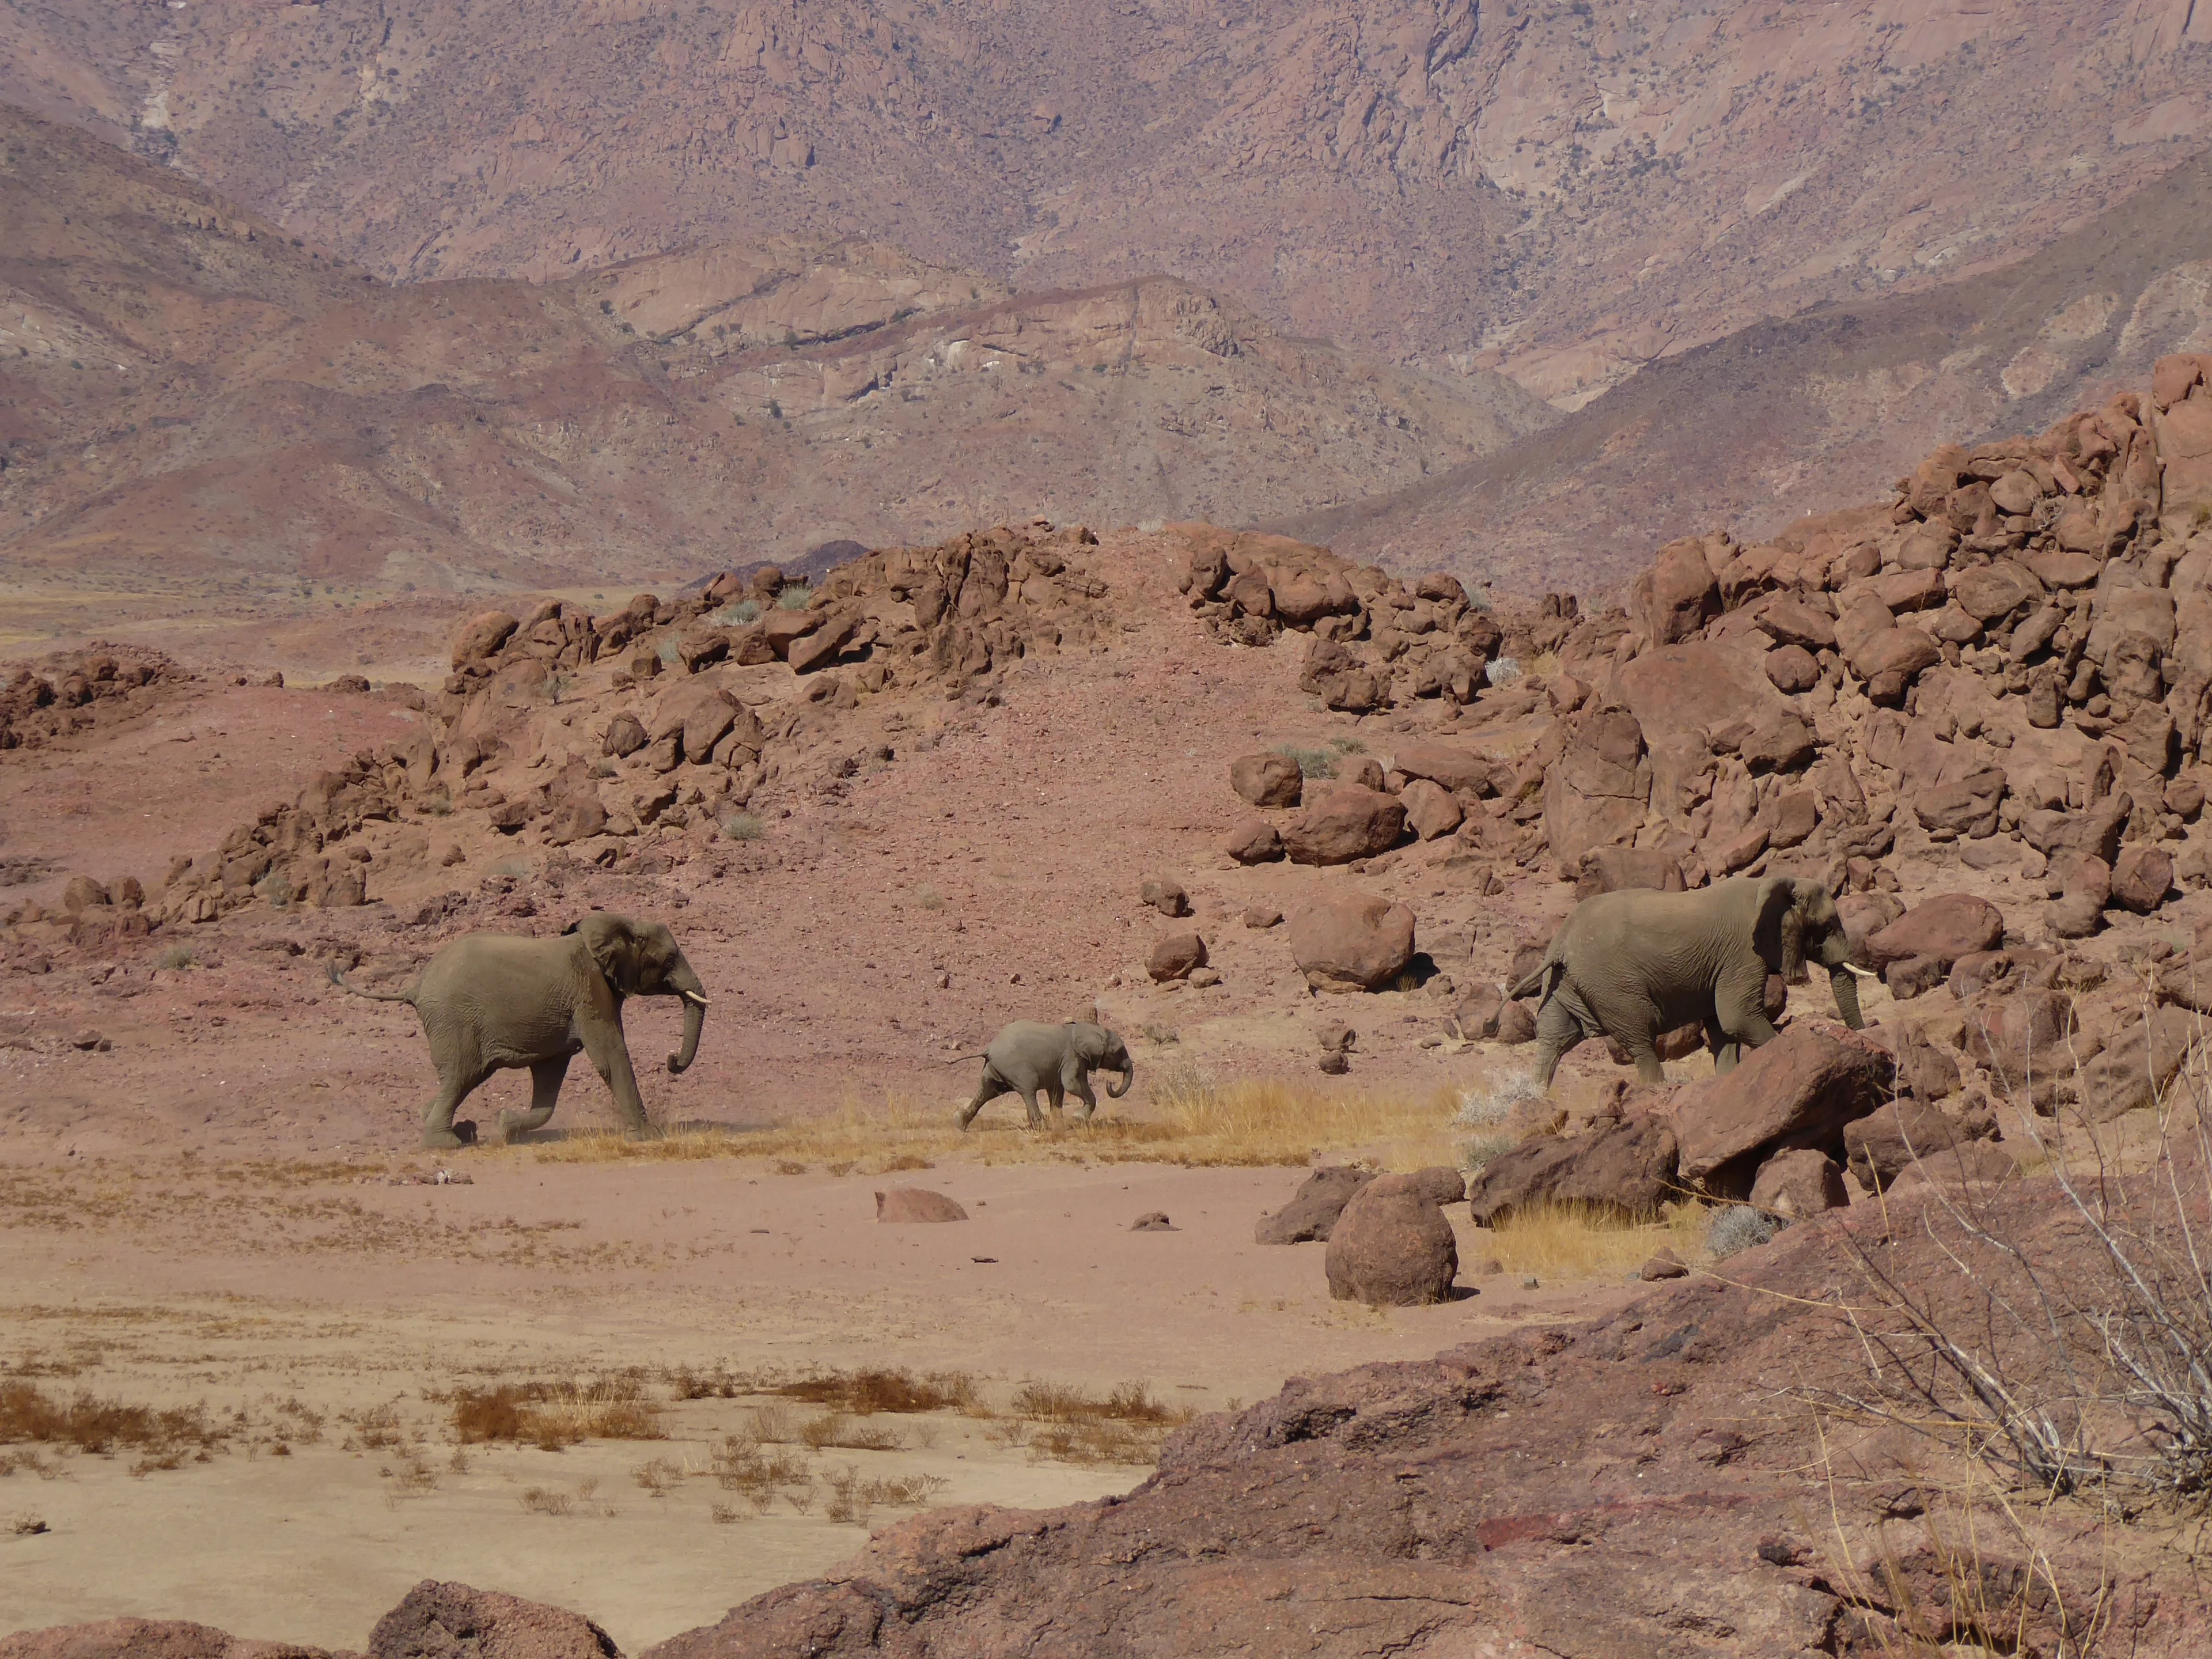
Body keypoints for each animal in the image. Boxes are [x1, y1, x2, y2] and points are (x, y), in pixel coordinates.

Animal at [330, 912, 708, 1150]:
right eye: (670, 959)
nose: (671, 1060)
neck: (619, 924)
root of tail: (416, 985)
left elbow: (551, 1074)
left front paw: (506, 1124)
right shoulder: (591, 990)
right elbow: (609, 1057)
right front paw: (648, 1136)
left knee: (459, 1079)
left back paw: (459, 1129)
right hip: (454, 1021)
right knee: (463, 1075)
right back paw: (445, 1143)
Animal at [958, 1021, 1134, 1130]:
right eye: (1118, 1052)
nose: (1110, 1083)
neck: (1090, 1028)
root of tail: (989, 1048)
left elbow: (1058, 1090)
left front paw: (1061, 1124)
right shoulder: (1073, 1057)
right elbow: (1071, 1084)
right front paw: (1077, 1118)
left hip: (996, 1068)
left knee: (988, 1091)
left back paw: (960, 1123)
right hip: (1014, 1065)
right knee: (1028, 1089)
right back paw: (1042, 1127)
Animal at [1507, 875, 1866, 1090]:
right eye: (1827, 925)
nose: (1863, 1036)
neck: (1774, 883)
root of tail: (1560, 943)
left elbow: (1721, 1028)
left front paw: (1728, 1078)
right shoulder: (1742, 953)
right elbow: (1737, 1018)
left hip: (1565, 981)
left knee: (1556, 1036)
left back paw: (1539, 1095)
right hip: (1611, 983)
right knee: (1640, 1034)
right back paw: (1658, 1089)